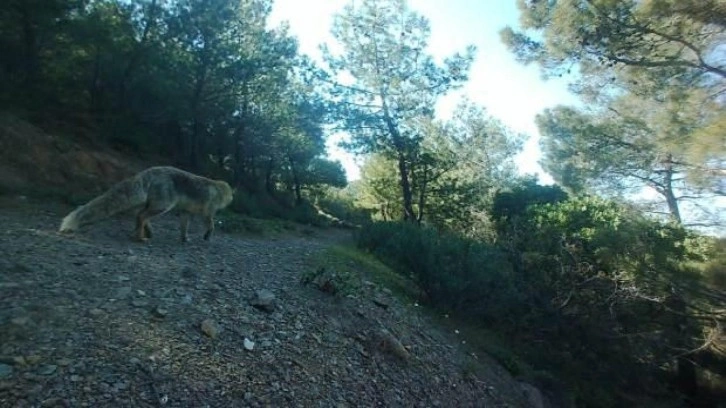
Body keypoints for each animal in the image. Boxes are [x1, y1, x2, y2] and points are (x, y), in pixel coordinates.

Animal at [60, 166, 236, 242]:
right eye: (229, 198)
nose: (231, 201)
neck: (218, 189)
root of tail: (150, 171)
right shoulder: (208, 212)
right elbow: (211, 225)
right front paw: (207, 236)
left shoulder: (185, 212)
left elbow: (184, 228)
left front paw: (184, 238)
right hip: (163, 206)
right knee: (141, 216)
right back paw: (140, 237)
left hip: (153, 205)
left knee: (140, 216)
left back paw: (144, 233)